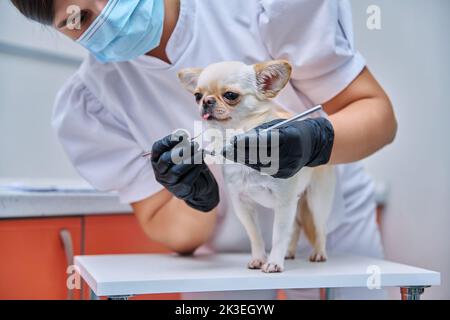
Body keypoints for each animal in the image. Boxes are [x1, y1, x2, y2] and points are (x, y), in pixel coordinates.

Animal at [178, 60, 334, 272]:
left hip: (316, 200)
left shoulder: (284, 203)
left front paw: (274, 262)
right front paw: (260, 258)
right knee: (295, 228)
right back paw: (289, 252)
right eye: (197, 96)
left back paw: (319, 252)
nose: (206, 101)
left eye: (230, 95)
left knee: (320, 228)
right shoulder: (243, 205)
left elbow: (278, 237)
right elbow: (255, 235)